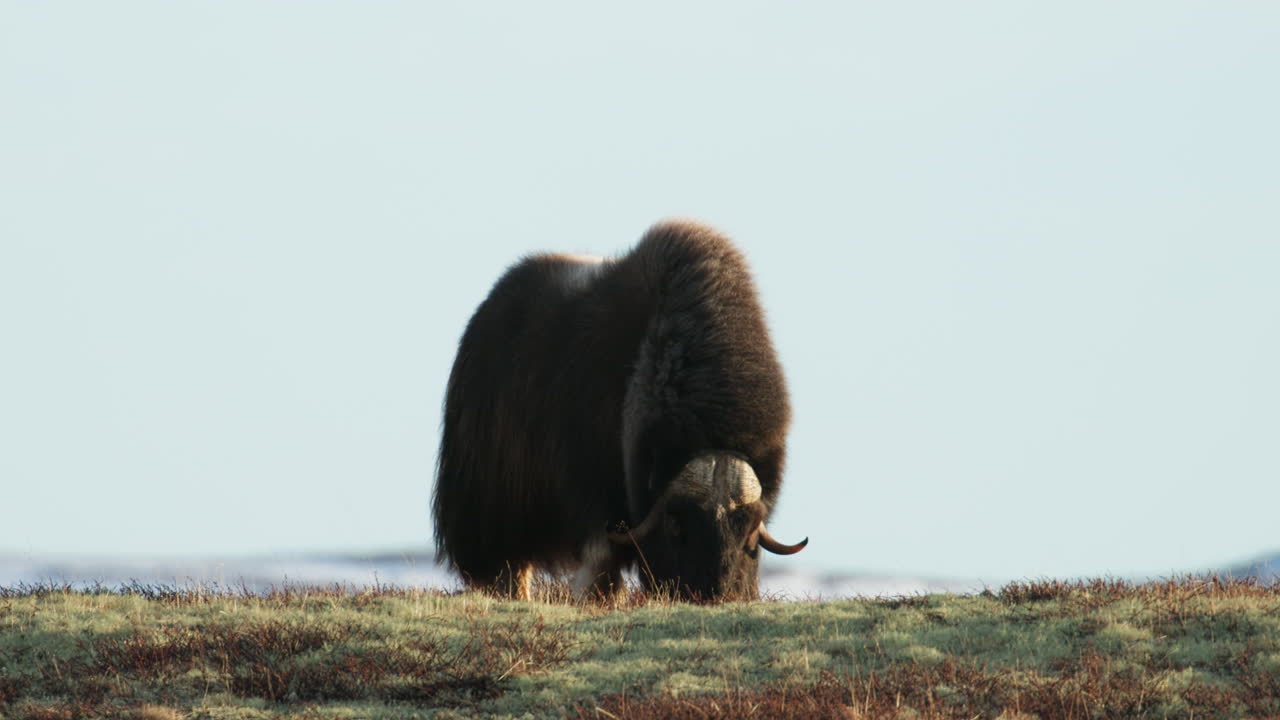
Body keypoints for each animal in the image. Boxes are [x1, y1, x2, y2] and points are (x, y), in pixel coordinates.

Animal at [432, 220, 807, 602]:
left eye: (751, 527)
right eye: (675, 524)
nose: (720, 596)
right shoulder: (592, 491)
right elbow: (601, 558)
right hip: (492, 504)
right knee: (509, 563)